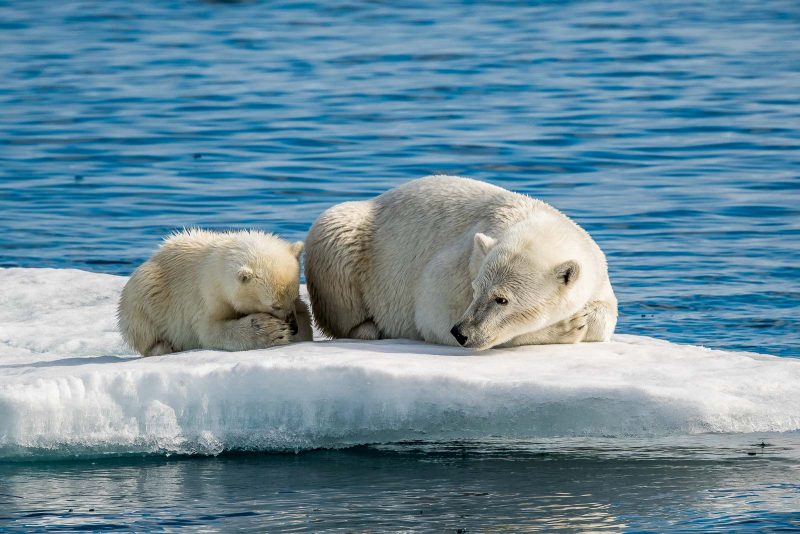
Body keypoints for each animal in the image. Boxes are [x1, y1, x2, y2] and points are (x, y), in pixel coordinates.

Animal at [119, 229, 312, 358]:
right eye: (275, 305)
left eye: (294, 297)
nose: (293, 327)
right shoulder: (206, 296)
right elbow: (209, 330)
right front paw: (271, 329)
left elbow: (305, 317)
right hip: (144, 294)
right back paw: (164, 347)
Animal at [306, 177, 620, 352]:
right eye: (476, 288)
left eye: (502, 299)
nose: (462, 332)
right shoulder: (460, 260)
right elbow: (433, 312)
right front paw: (569, 326)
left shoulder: (598, 275)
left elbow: (603, 317)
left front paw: (580, 319)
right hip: (348, 235)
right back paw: (369, 328)